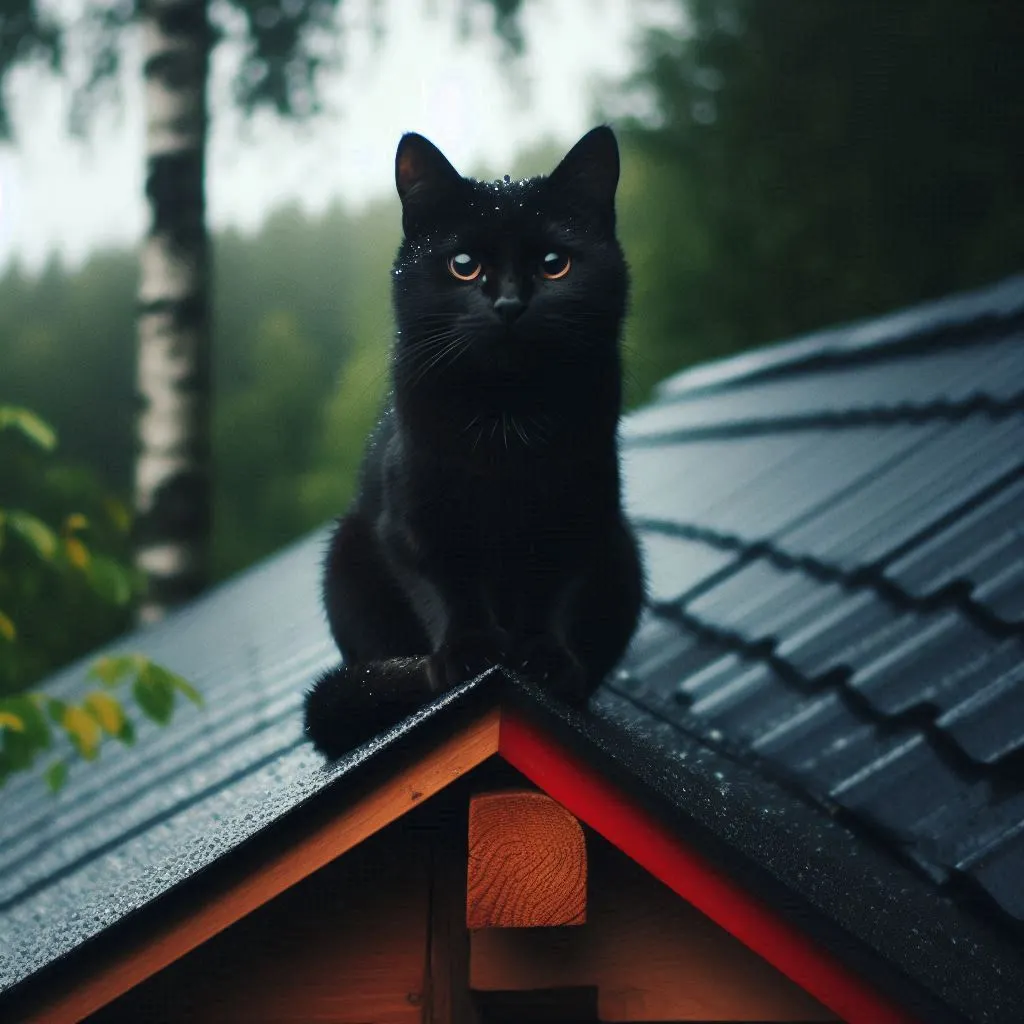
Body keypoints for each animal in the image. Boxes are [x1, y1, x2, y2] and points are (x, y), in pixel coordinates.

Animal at [299, 123, 643, 757]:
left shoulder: (584, 514)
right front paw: (467, 653)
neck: (506, 427)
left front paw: (545, 659)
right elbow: (446, 584)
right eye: (462, 265)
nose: (509, 303)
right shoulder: (413, 520)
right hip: (344, 556)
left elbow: (553, 590)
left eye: (555, 264)